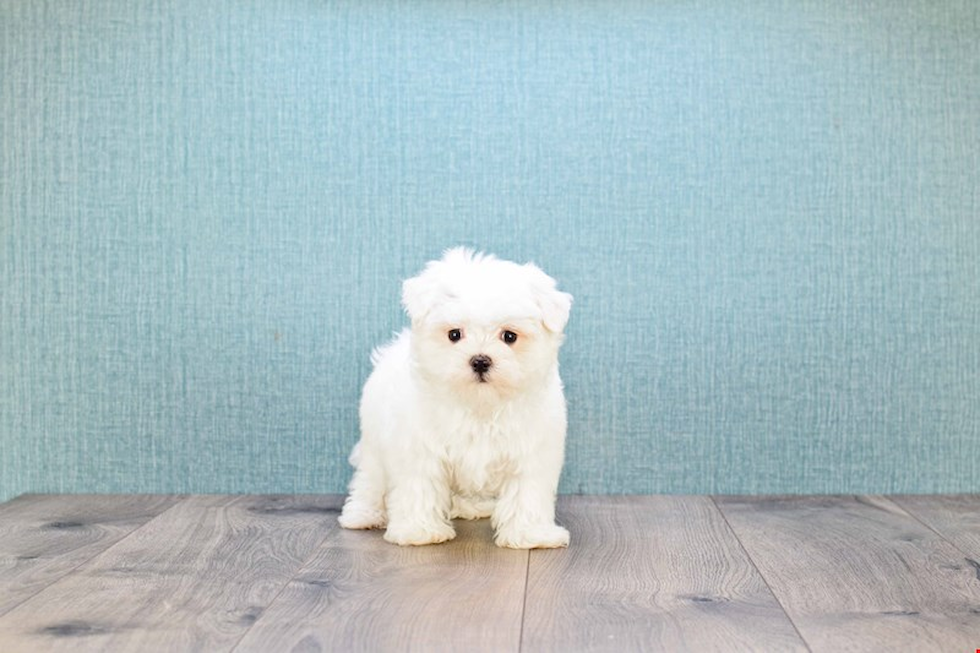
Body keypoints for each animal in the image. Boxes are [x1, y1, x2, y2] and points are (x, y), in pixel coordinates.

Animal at [340, 247, 576, 548]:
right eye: (454, 334)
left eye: (509, 336)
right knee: (369, 479)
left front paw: (531, 534)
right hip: (373, 442)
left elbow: (527, 493)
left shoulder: (530, 452)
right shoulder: (420, 450)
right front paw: (419, 531)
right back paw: (363, 514)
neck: (478, 404)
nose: (480, 360)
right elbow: (420, 487)